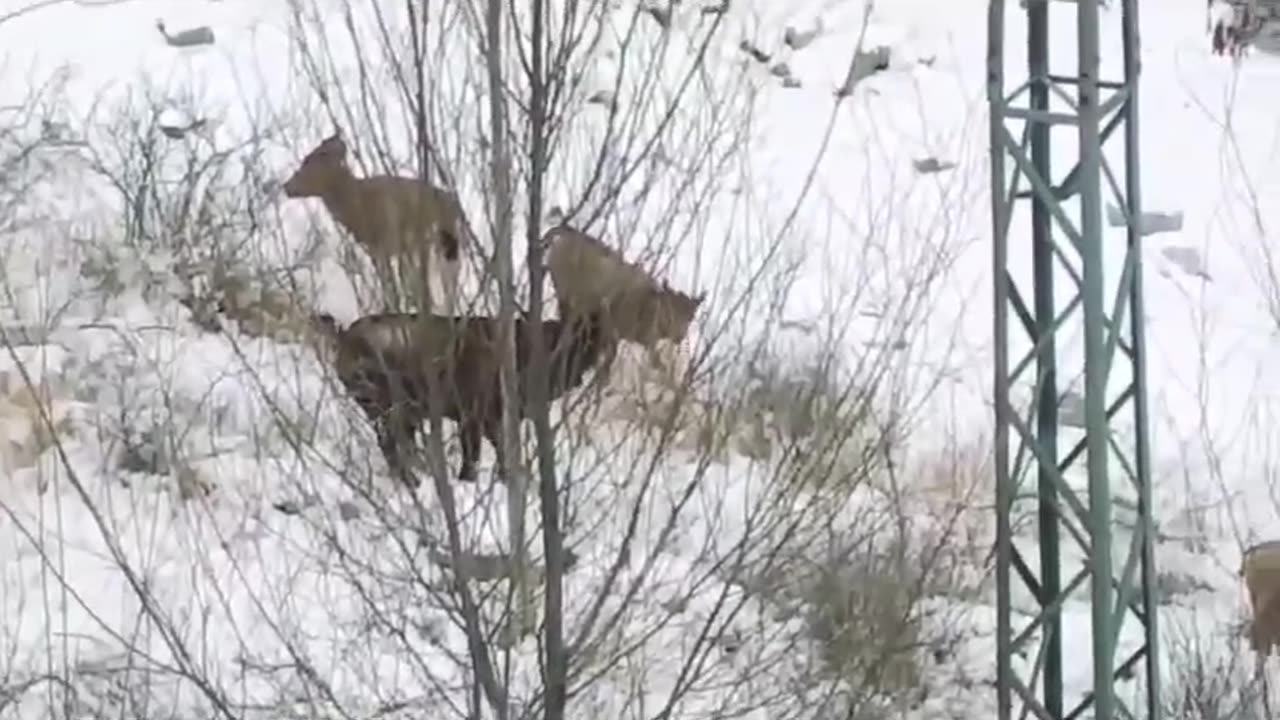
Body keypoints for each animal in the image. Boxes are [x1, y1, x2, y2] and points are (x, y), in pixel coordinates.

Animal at [285, 133, 465, 312]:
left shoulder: (388, 241)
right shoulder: (376, 249)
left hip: (441, 241)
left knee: (445, 279)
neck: (360, 207)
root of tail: (454, 206)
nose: (286, 186)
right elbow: (390, 282)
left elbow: (395, 283)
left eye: (309, 159)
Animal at [307, 299, 611, 484]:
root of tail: (345, 339)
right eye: (573, 342)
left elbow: (501, 452)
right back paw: (413, 482)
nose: (578, 377)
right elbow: (473, 456)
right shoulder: (473, 415)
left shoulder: (493, 420)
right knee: (390, 445)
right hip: (386, 406)